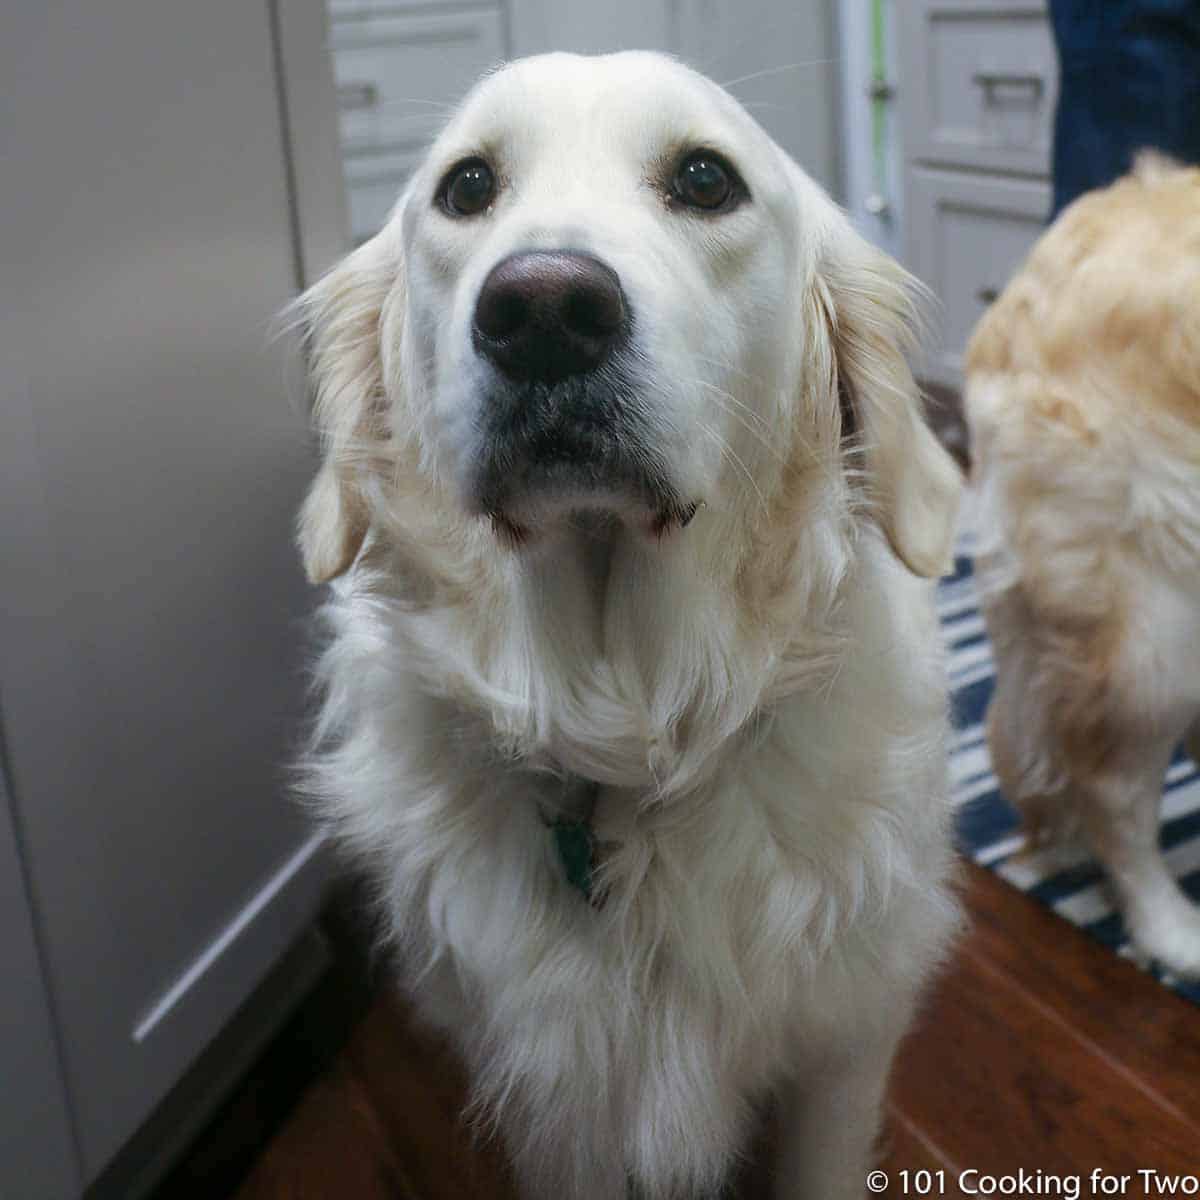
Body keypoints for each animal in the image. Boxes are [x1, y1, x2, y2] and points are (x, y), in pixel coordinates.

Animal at [295, 49, 960, 1200]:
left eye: (704, 179)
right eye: (468, 188)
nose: (544, 310)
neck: (624, 747)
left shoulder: (842, 1048)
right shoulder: (561, 1108)